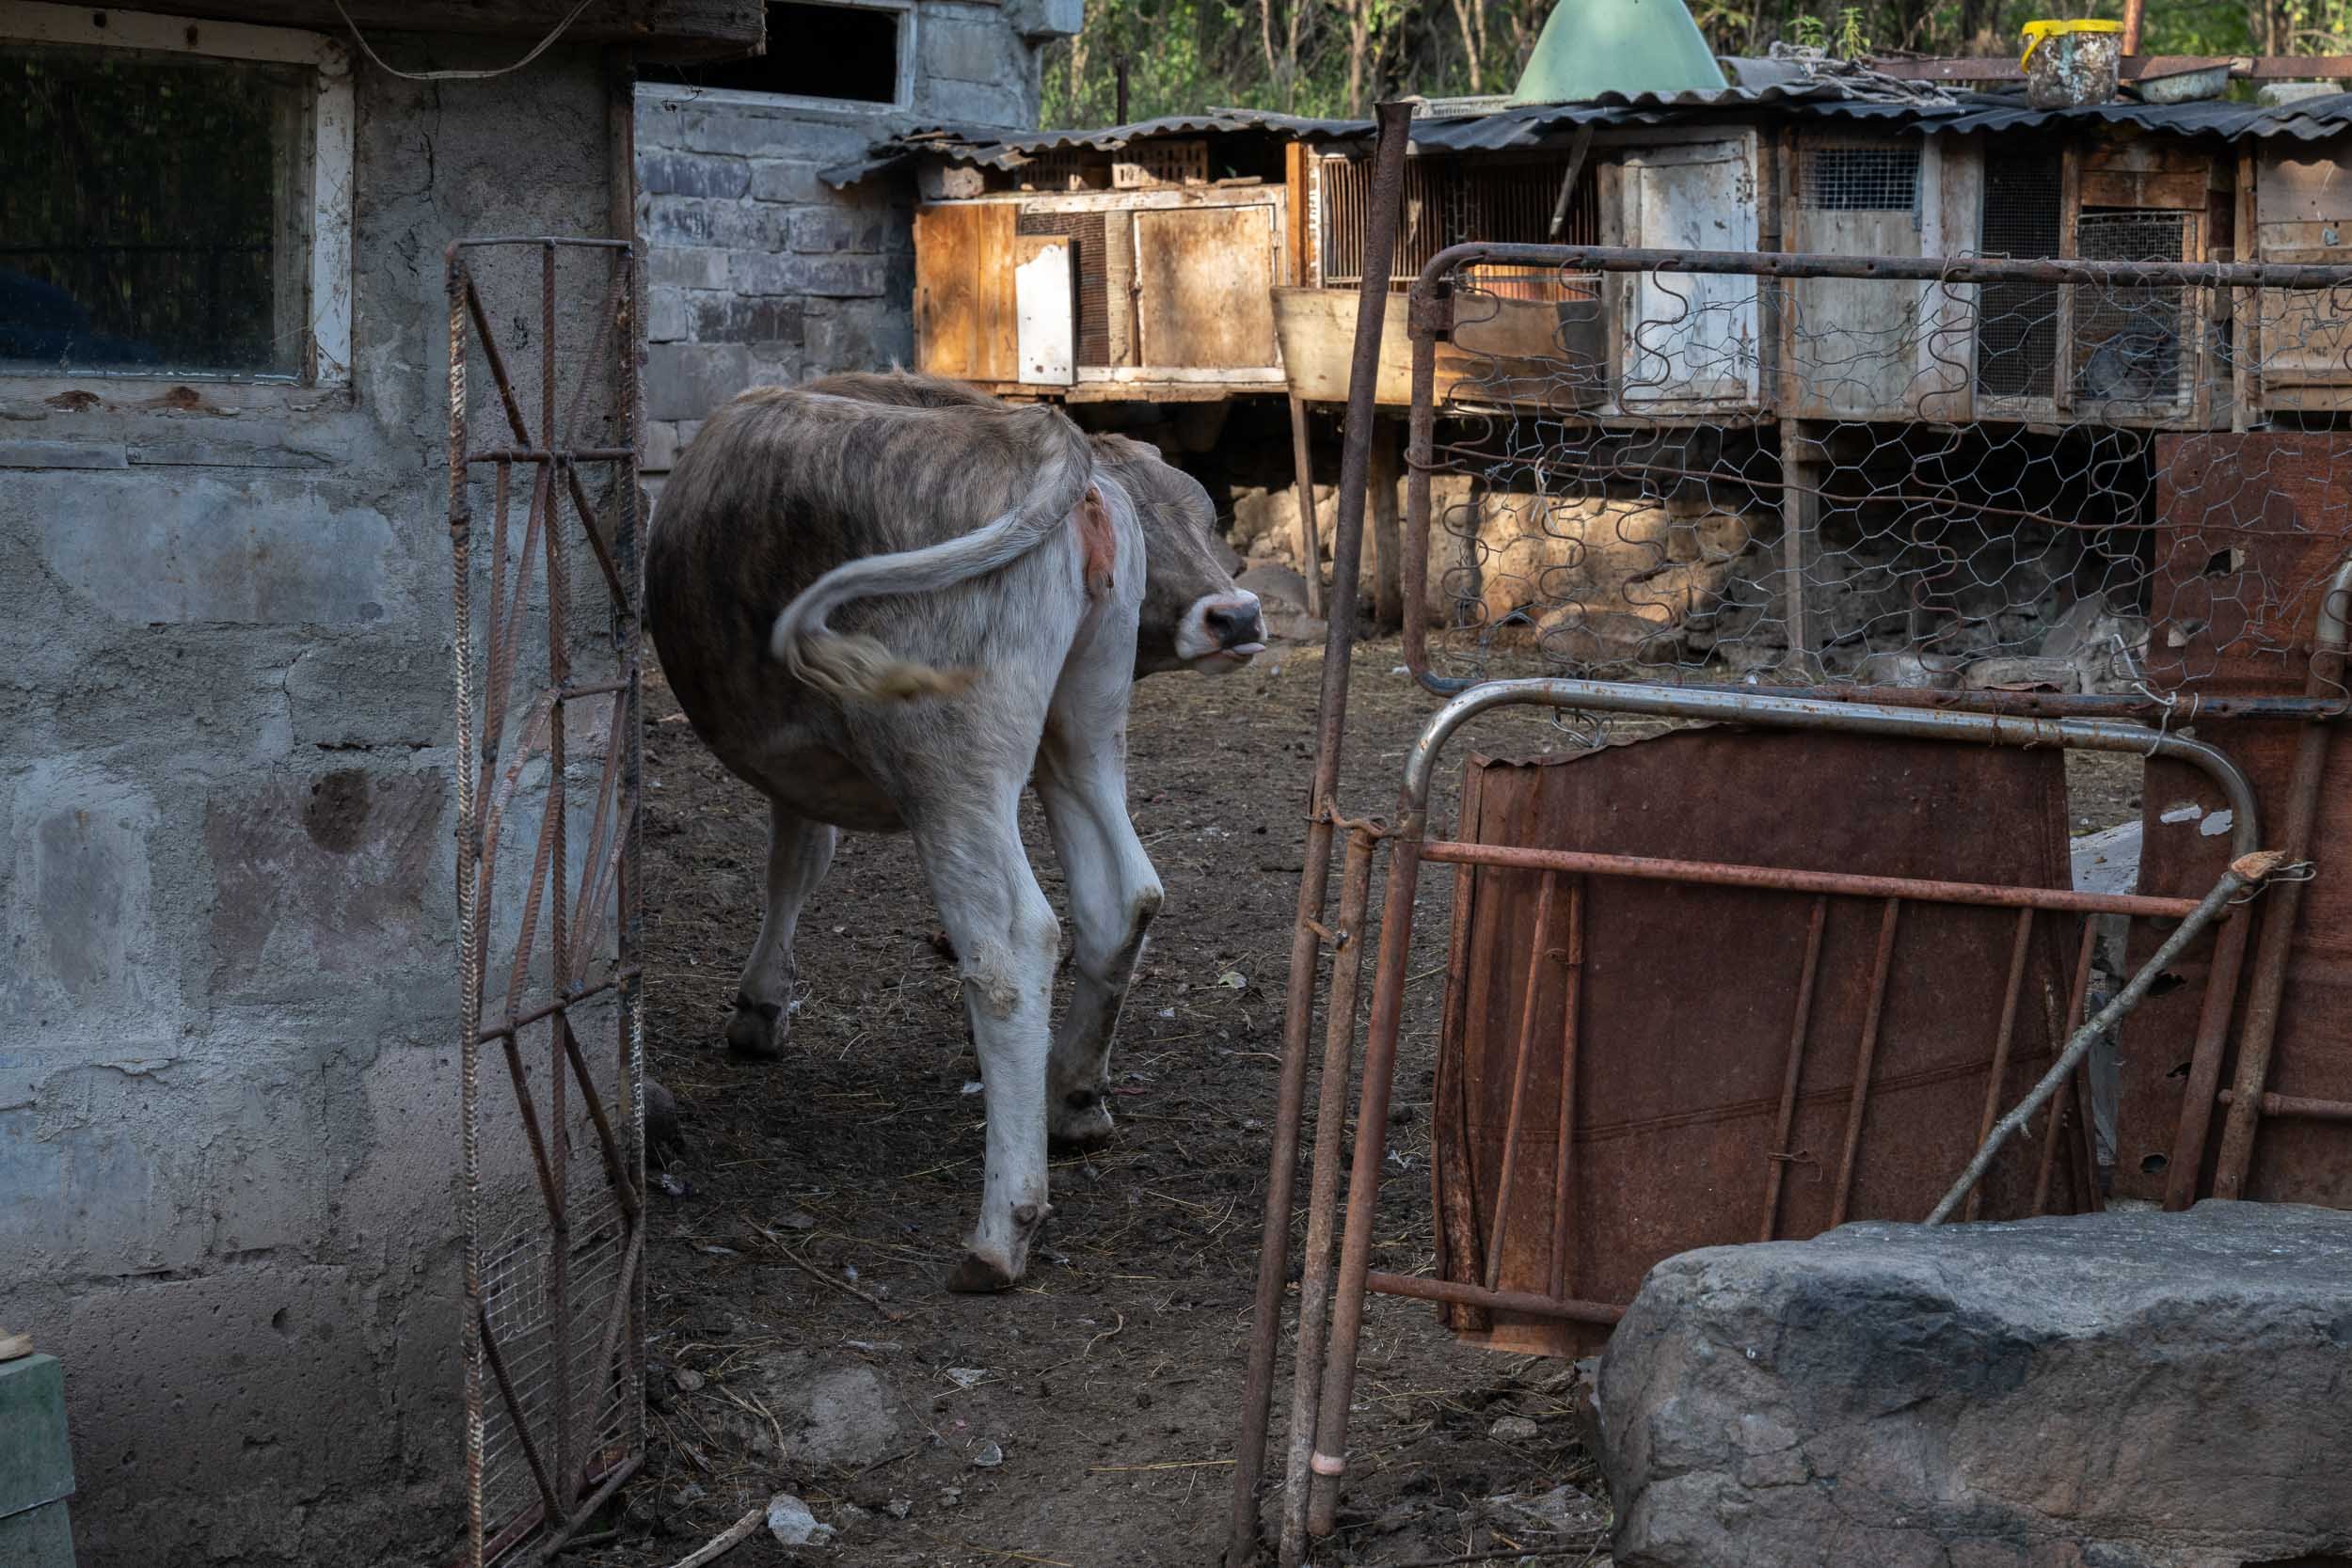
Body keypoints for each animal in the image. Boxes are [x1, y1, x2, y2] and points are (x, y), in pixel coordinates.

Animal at [645, 370, 1264, 1292]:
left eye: (1209, 515)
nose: (1240, 614)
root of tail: (1038, 436)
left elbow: (798, 858)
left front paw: (759, 1007)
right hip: (1082, 731)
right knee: (1123, 897)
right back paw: (1070, 1098)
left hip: (948, 764)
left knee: (1012, 945)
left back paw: (1002, 1227)